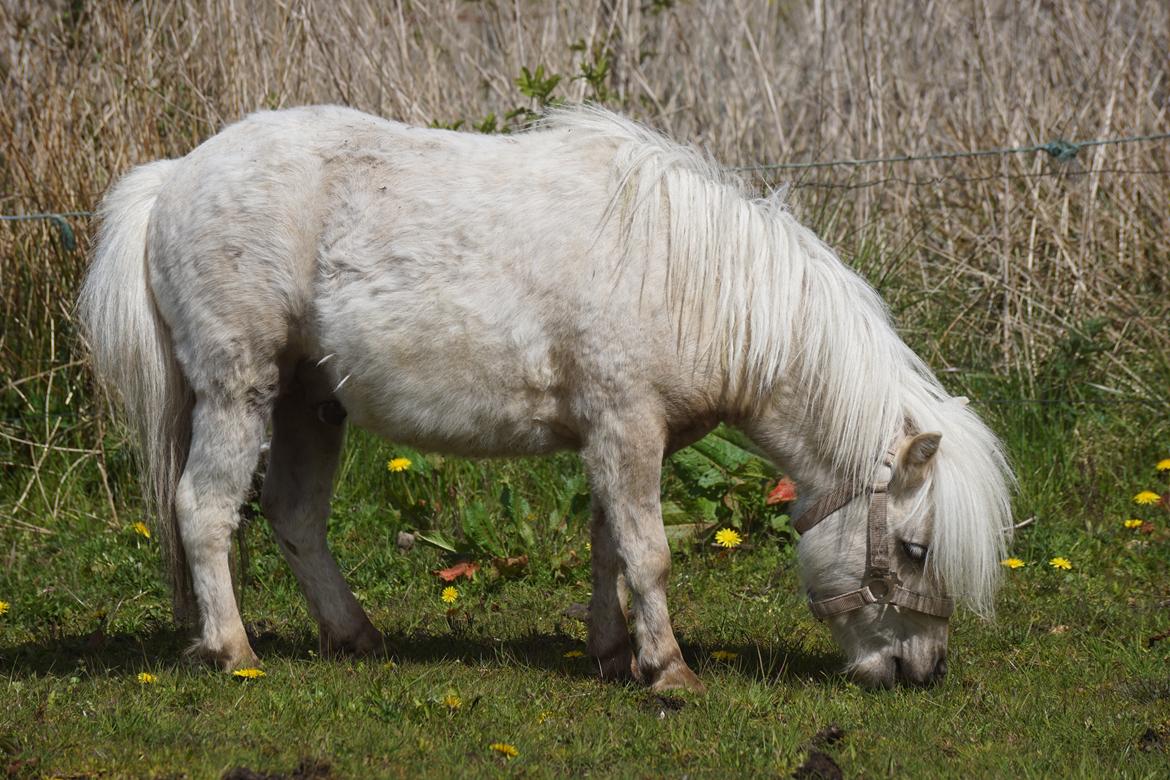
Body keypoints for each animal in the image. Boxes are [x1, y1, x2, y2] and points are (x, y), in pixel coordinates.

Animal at [82, 105, 1015, 696]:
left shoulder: (621, 439)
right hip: (239, 389)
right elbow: (649, 554)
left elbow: (610, 549)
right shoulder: (626, 429)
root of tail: (173, 178)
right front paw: (669, 671)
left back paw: (354, 637)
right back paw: (233, 650)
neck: (693, 281)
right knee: (204, 510)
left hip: (311, 402)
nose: (922, 671)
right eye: (917, 549)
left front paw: (613, 653)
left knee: (295, 517)